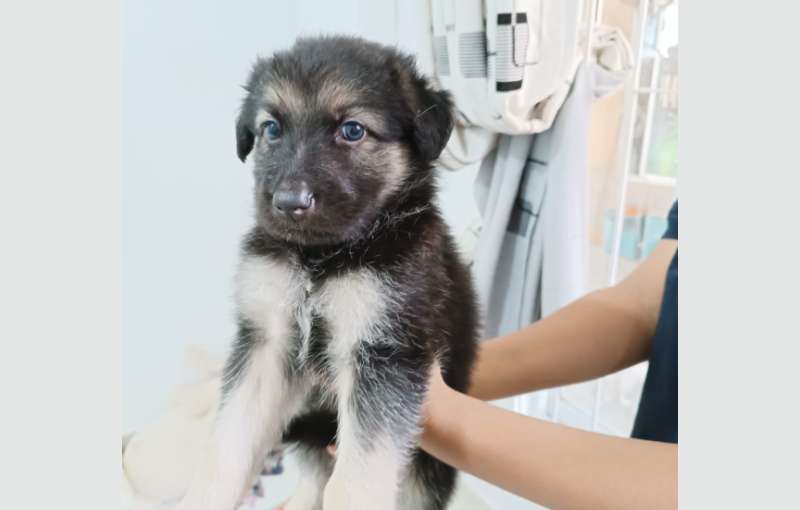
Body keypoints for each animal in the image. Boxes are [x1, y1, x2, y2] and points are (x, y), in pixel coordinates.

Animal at [179, 36, 478, 510]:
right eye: (271, 129)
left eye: (352, 130)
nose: (289, 203)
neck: (319, 260)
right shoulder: (265, 341)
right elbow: (226, 445)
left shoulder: (384, 353)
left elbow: (356, 478)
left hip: (424, 471)